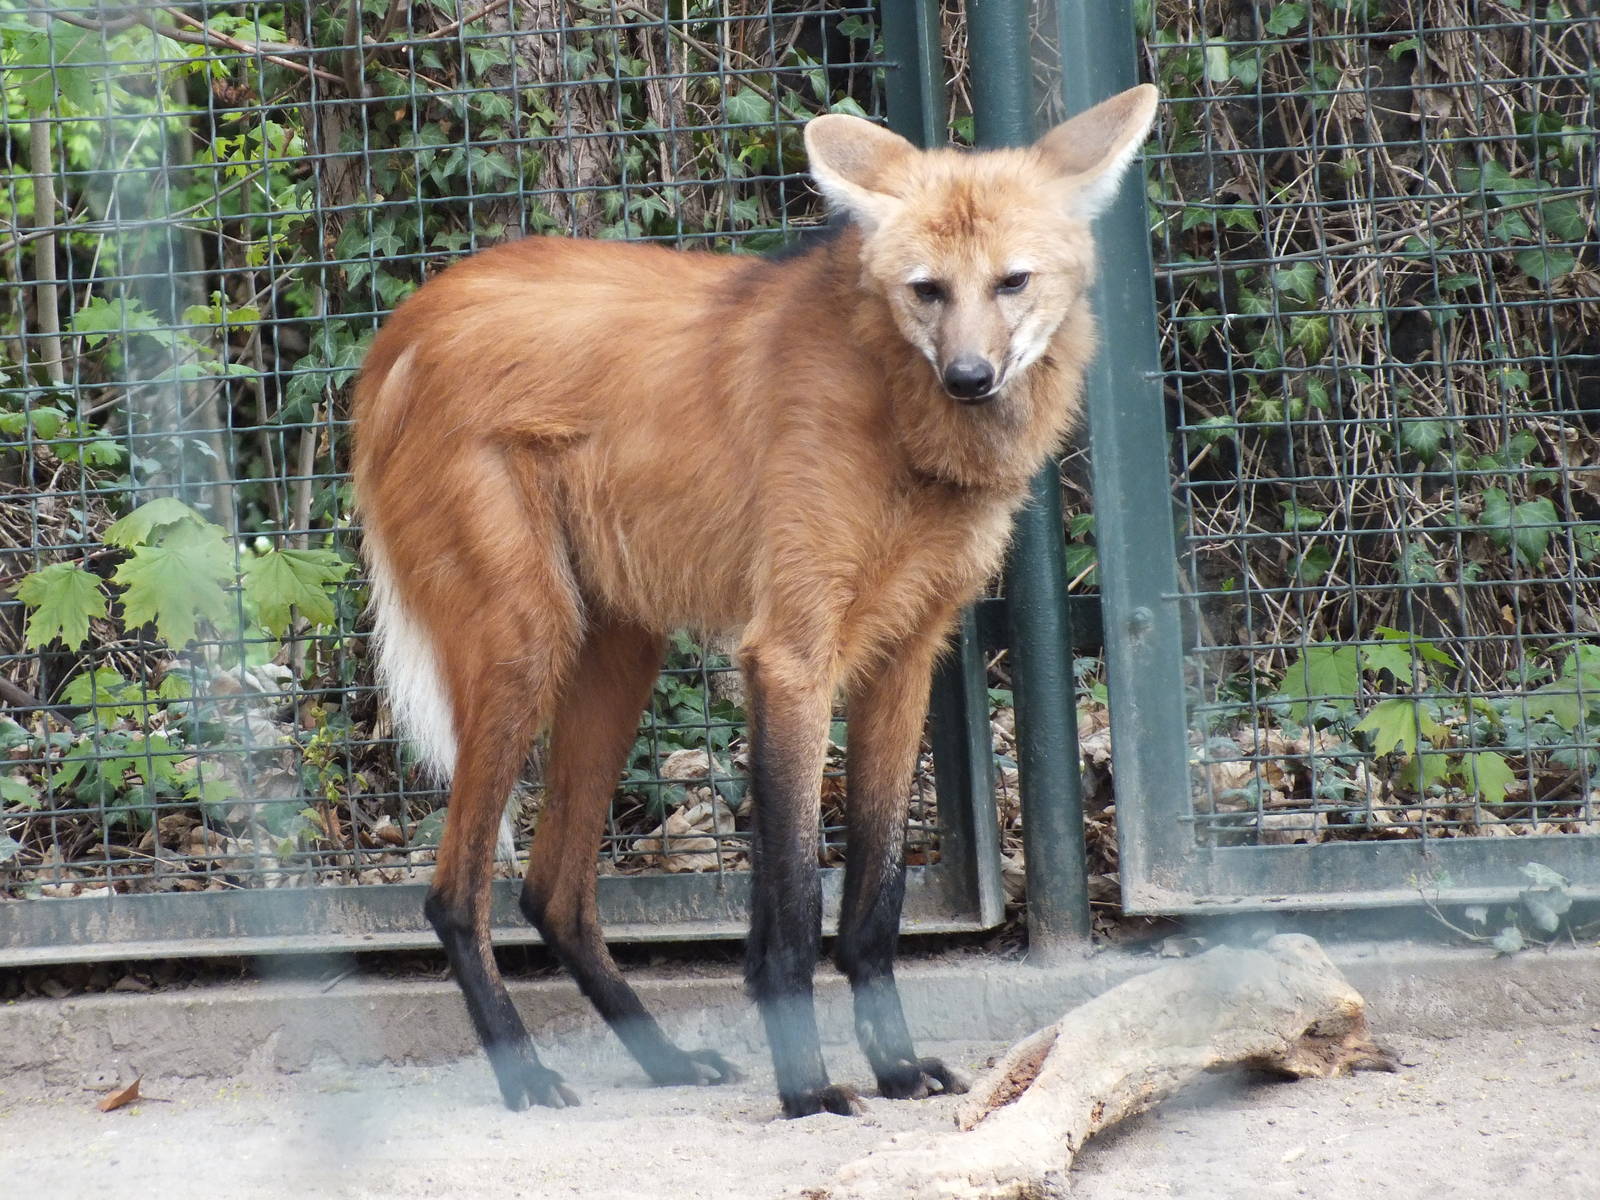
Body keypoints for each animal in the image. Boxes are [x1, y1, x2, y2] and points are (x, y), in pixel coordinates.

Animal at [352, 83, 1158, 1118]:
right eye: (927, 290)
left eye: (1012, 282)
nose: (970, 378)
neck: (899, 412)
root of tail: (400, 328)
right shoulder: (792, 654)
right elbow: (795, 907)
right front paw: (808, 1088)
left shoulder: (907, 656)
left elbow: (876, 898)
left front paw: (897, 1070)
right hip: (527, 644)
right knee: (455, 893)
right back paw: (525, 1071)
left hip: (620, 651)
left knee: (552, 891)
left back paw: (662, 1058)